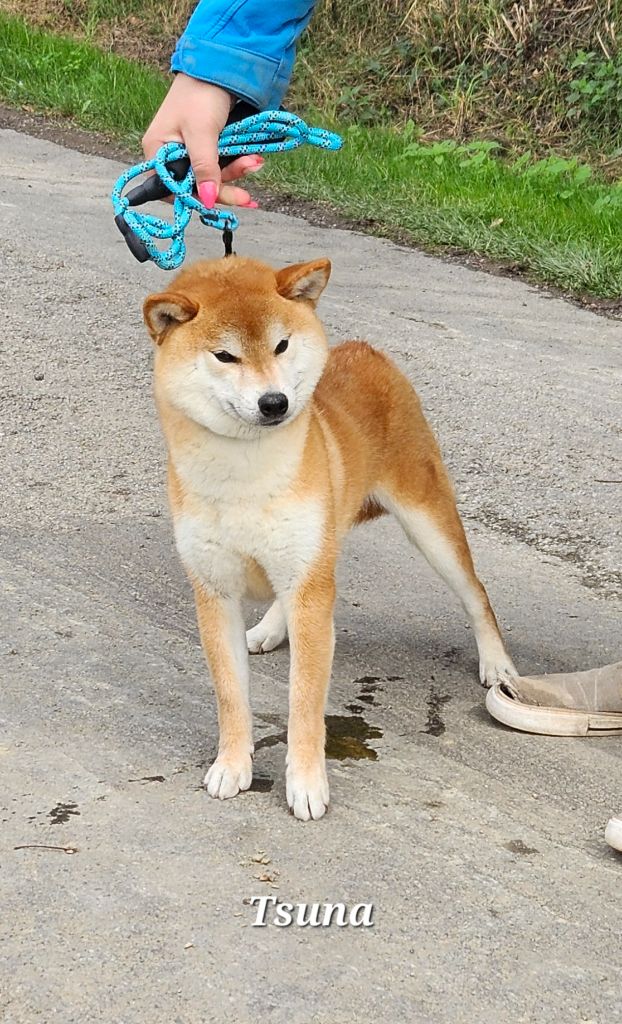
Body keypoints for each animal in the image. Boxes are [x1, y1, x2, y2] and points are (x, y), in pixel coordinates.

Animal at [144, 258, 516, 823]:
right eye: (225, 355)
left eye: (281, 345)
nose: (274, 402)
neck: (244, 472)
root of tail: (368, 350)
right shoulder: (215, 591)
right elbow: (231, 697)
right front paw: (232, 765)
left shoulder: (310, 586)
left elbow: (304, 702)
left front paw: (305, 784)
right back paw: (271, 628)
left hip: (426, 522)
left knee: (476, 593)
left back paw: (496, 663)